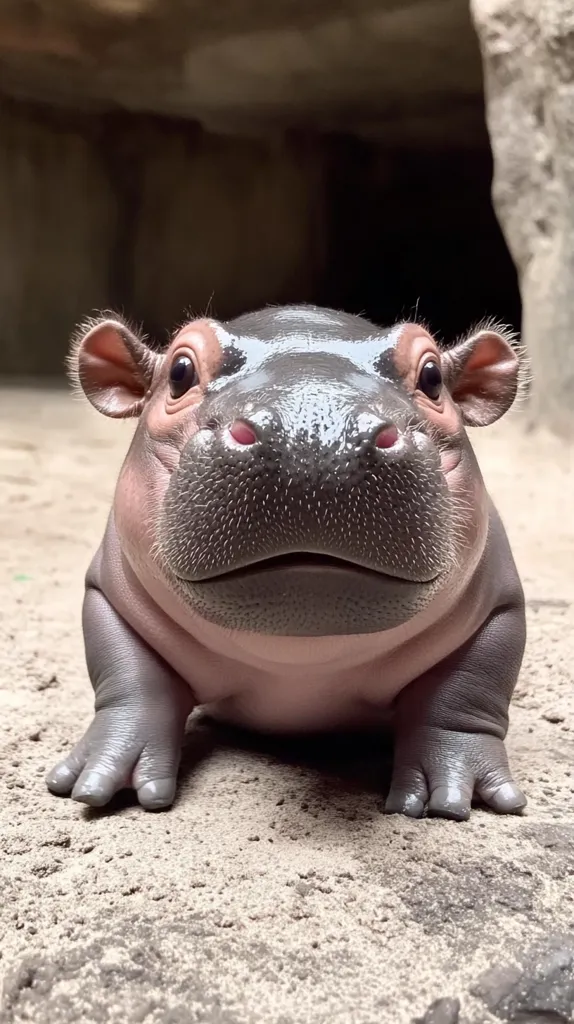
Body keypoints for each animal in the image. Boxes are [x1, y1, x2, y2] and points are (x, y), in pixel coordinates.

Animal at [46, 304, 528, 821]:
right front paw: (99, 781)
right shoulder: (110, 594)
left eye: (433, 376)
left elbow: (464, 697)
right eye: (179, 371)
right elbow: (131, 683)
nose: (314, 435)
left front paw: (455, 795)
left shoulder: (498, 606)